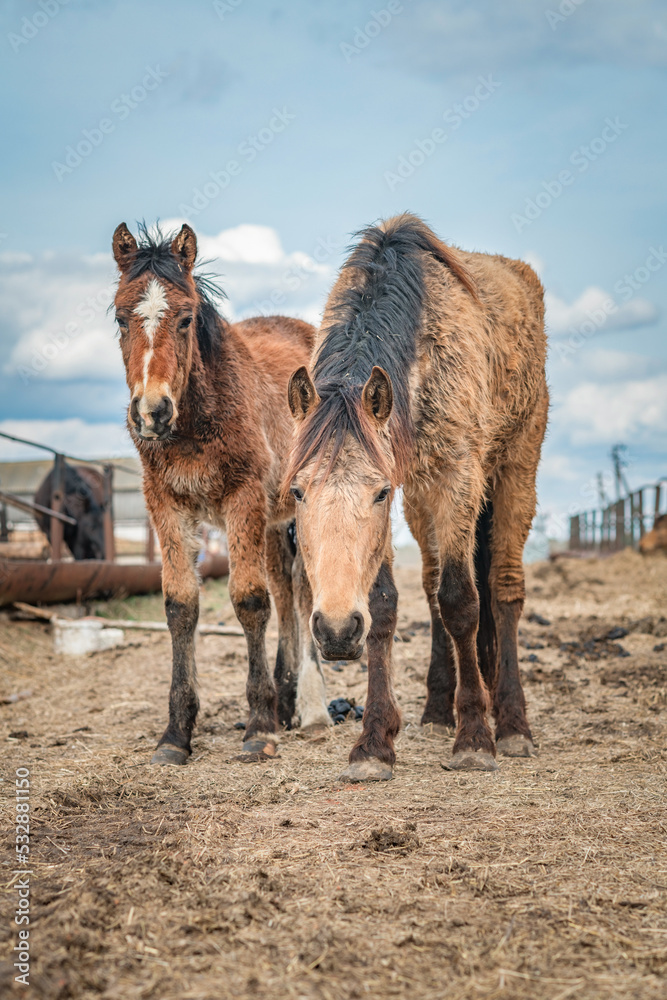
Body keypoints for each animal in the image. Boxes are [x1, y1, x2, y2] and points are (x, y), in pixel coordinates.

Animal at [112, 221, 330, 765]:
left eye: (186, 319)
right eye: (121, 319)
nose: (152, 412)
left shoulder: (243, 497)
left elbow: (249, 599)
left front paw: (259, 727)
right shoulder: (165, 503)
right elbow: (180, 604)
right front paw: (176, 733)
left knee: (303, 588)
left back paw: (312, 708)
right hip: (276, 522)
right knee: (286, 586)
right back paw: (288, 698)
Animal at [285, 213, 548, 781]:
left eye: (378, 492)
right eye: (296, 491)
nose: (335, 630)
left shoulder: (455, 477)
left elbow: (462, 601)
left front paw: (475, 738)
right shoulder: (412, 484)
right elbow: (386, 606)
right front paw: (374, 742)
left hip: (517, 466)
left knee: (503, 589)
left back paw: (512, 724)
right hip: (425, 499)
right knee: (429, 586)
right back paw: (436, 711)